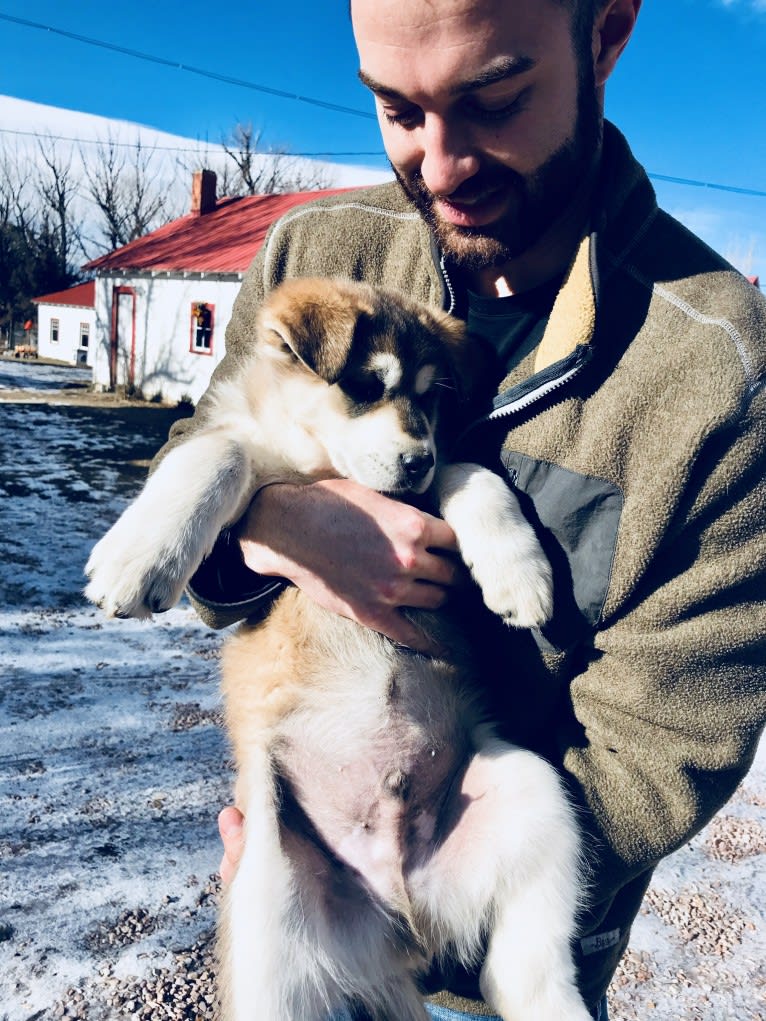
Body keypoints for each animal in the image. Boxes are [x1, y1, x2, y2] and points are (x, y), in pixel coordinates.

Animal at [88, 277, 592, 1021]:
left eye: (432, 396)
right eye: (363, 384)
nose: (416, 461)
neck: (323, 462)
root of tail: (399, 915)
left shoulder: (430, 483)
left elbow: (473, 470)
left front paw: (519, 572)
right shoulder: (256, 461)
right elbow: (216, 452)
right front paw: (137, 556)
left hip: (537, 796)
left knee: (524, 971)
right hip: (267, 923)